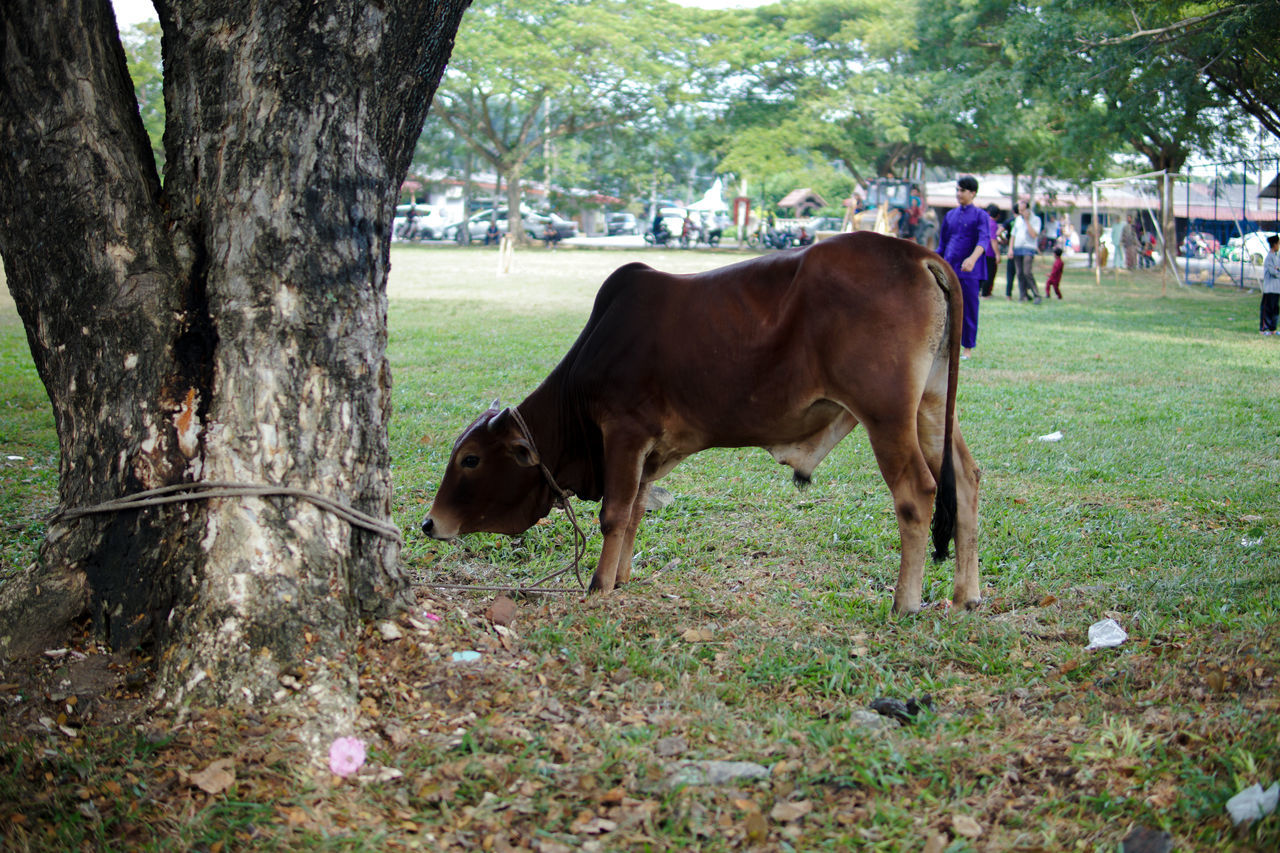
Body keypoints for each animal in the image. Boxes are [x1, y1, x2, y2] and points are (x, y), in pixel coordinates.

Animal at [424, 229, 983, 607]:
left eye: (470, 460)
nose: (430, 524)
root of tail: (919, 254)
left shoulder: (623, 432)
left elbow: (613, 513)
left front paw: (599, 587)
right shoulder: (649, 449)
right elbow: (635, 511)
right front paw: (622, 576)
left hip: (886, 415)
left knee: (918, 492)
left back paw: (905, 602)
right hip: (932, 404)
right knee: (966, 479)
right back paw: (966, 596)